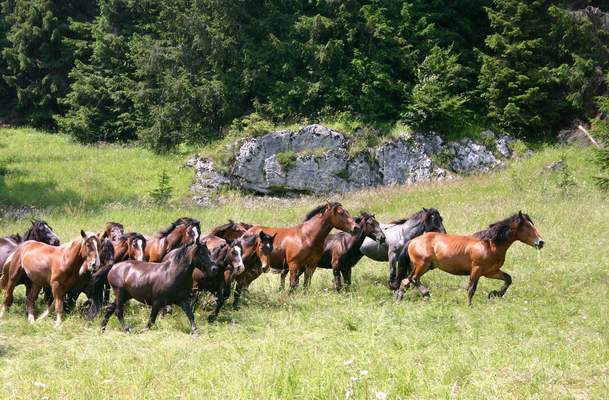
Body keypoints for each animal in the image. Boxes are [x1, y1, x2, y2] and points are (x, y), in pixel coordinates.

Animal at [396, 212, 544, 304]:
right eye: (527, 226)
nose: (541, 242)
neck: (489, 244)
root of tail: (412, 241)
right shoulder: (476, 269)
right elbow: (471, 289)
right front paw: (470, 306)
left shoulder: (490, 272)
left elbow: (508, 279)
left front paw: (495, 294)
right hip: (422, 265)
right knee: (414, 279)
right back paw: (426, 294)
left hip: (425, 267)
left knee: (406, 281)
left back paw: (400, 300)